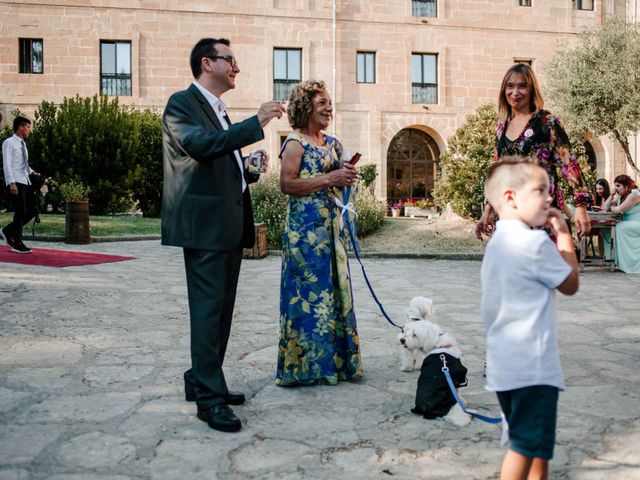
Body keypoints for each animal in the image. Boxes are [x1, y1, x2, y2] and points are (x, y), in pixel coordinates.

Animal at [398, 296, 472, 428]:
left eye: (414, 334)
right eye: (405, 331)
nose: (402, 340)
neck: (439, 343)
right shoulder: (460, 377)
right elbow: (459, 390)